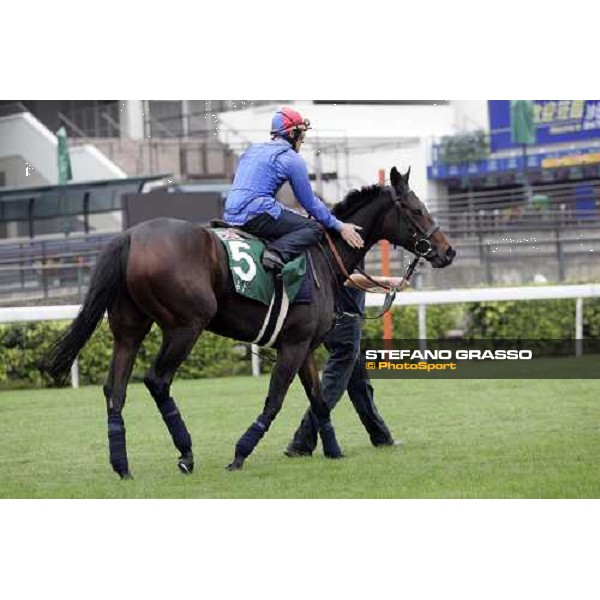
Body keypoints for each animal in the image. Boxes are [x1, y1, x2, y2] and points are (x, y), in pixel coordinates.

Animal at [44, 165, 454, 478]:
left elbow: (320, 400)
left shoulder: (304, 346)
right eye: (417, 209)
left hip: (129, 329)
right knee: (157, 380)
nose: (447, 251)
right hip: (185, 326)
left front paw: (333, 451)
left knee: (115, 390)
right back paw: (186, 453)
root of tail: (129, 235)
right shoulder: (292, 346)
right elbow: (275, 401)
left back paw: (122, 465)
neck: (323, 257)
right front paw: (240, 453)